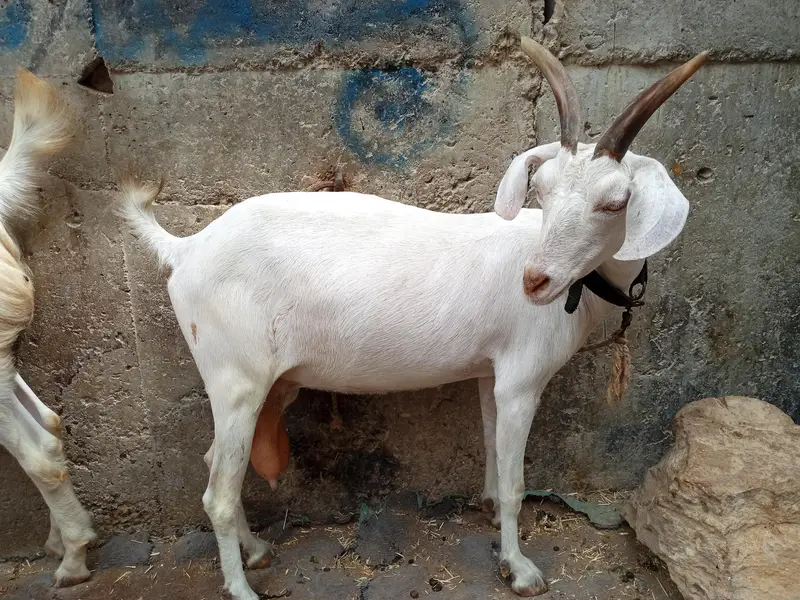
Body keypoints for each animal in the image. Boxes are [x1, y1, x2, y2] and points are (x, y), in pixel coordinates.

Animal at [118, 38, 707, 599]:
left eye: (616, 203)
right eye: (541, 191)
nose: (535, 281)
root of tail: (186, 248)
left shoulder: (491, 372)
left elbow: (492, 452)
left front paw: (489, 512)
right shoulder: (521, 379)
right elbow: (516, 481)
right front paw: (519, 568)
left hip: (263, 382)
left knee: (213, 461)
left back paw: (256, 549)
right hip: (235, 378)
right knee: (217, 492)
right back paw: (241, 587)